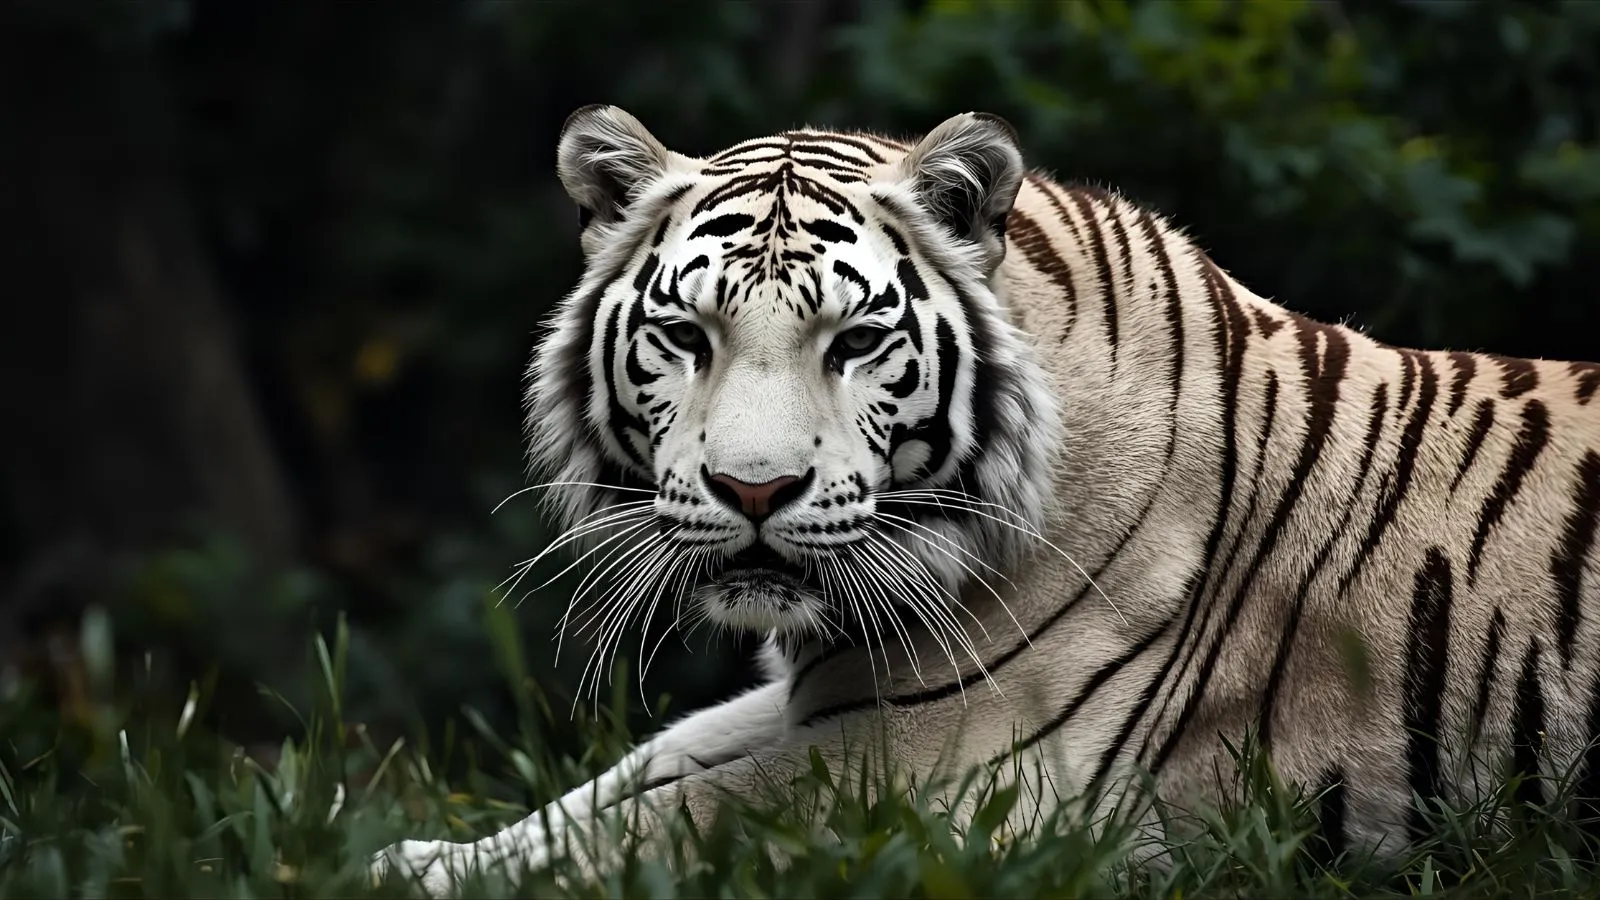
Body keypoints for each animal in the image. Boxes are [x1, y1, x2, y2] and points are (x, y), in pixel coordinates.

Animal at [372, 105, 1600, 894]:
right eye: (686, 334)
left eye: (855, 342)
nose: (754, 489)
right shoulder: (827, 700)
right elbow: (624, 779)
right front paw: (409, 851)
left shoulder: (954, 770)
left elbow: (669, 820)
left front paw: (406, 876)